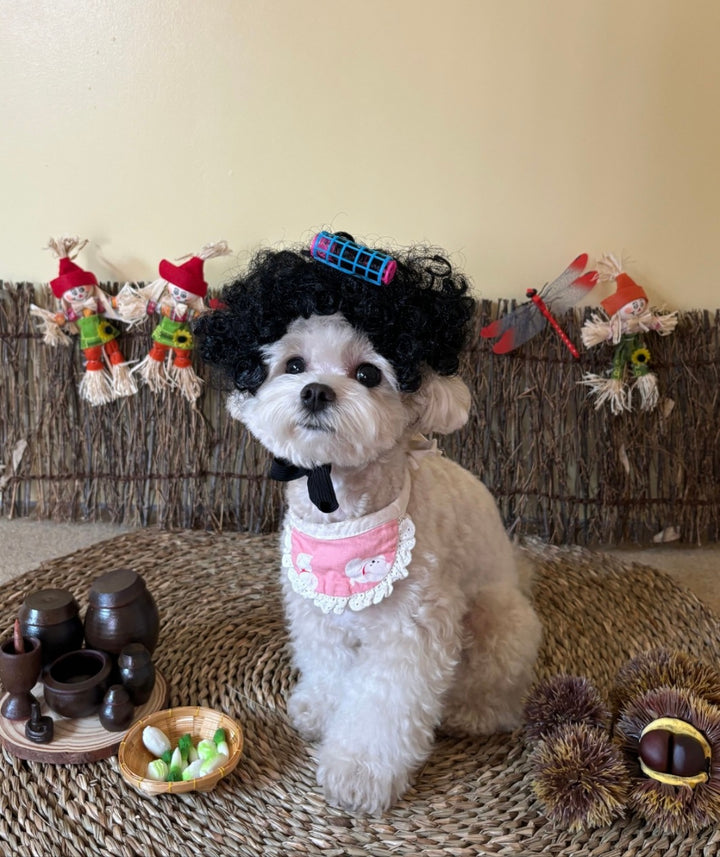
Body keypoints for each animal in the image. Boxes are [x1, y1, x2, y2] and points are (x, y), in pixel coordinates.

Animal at [194, 234, 544, 816]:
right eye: (293, 364)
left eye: (368, 374)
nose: (315, 391)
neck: (340, 506)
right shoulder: (317, 611)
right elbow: (330, 667)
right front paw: (321, 708)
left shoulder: (411, 631)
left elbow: (384, 707)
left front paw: (357, 773)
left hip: (498, 619)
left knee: (496, 691)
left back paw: (470, 712)